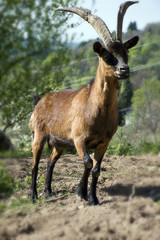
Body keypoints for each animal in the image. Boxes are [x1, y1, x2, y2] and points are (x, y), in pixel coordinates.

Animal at [29, 0, 139, 205]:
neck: (96, 108)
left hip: (59, 143)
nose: (124, 70)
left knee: (50, 161)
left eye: (126, 52)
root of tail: (39, 101)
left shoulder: (104, 142)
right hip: (38, 135)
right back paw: (33, 196)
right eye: (106, 55)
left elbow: (95, 169)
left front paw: (92, 198)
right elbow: (87, 163)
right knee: (35, 164)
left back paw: (48, 192)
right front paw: (81, 193)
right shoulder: (79, 139)